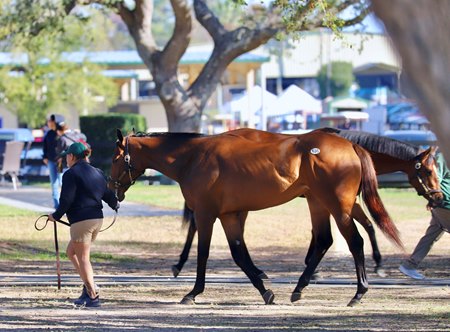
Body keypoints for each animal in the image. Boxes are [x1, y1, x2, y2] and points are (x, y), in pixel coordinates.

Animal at [110, 127, 402, 306]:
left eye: (115, 159)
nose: (112, 190)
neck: (194, 157)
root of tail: (351, 145)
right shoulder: (229, 215)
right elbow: (239, 254)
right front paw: (265, 290)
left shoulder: (206, 214)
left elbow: (203, 253)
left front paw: (193, 293)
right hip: (318, 203)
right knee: (323, 241)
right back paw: (299, 289)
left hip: (338, 206)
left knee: (355, 241)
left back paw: (358, 293)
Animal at [173, 128, 442, 278]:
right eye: (428, 170)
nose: (438, 196)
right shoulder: (332, 201)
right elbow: (325, 233)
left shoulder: (342, 202)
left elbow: (367, 226)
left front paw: (377, 264)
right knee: (200, 224)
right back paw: (180, 264)